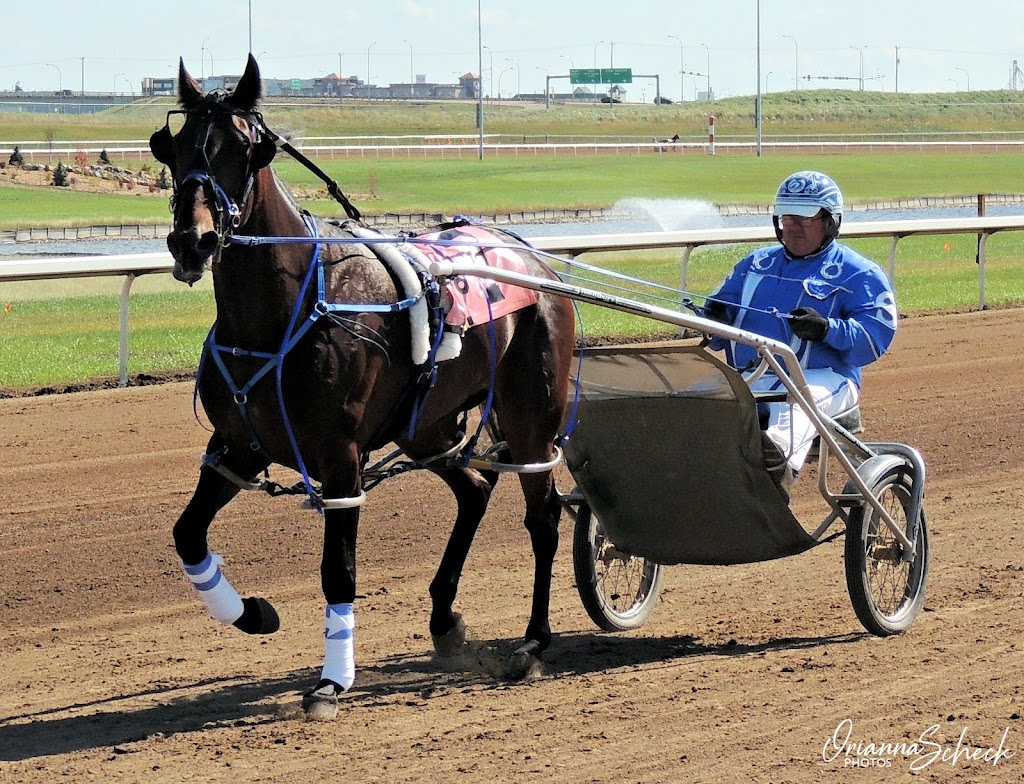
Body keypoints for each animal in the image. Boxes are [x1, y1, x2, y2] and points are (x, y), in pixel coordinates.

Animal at [149, 52, 577, 720]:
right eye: (175, 149)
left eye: (243, 148)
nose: (194, 241)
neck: (283, 316)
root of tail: (533, 260)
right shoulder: (237, 446)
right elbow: (187, 534)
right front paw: (253, 613)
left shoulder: (340, 457)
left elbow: (338, 571)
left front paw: (332, 681)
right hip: (427, 426)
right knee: (476, 489)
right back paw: (445, 618)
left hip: (532, 416)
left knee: (544, 517)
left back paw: (533, 643)